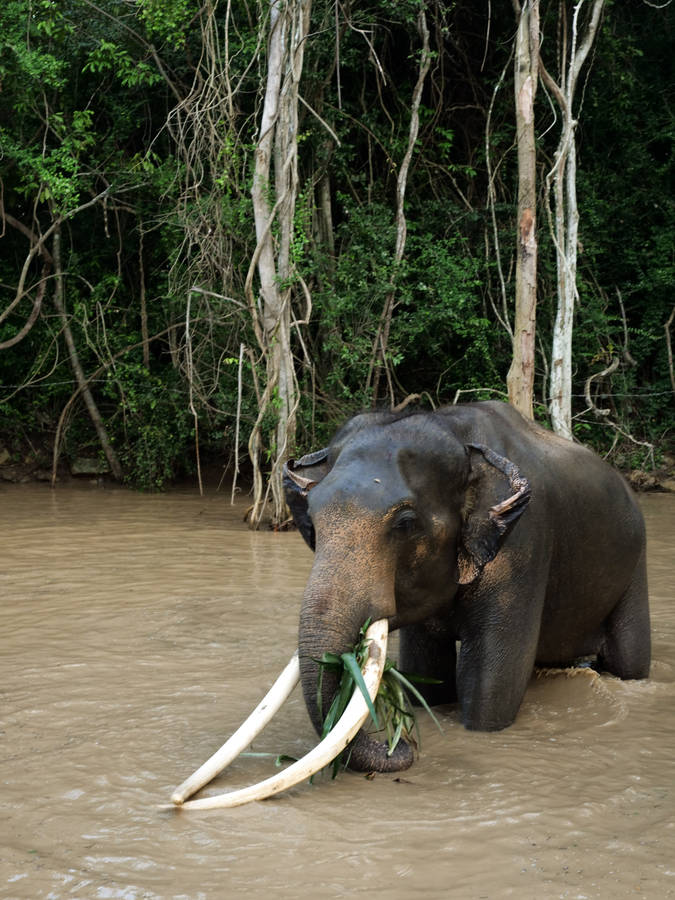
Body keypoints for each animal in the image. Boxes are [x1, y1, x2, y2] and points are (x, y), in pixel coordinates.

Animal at [282, 400, 652, 772]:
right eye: (311, 518)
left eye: (405, 523)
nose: (398, 745)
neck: (457, 433)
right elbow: (428, 674)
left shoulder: (524, 548)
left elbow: (492, 686)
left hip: (635, 562)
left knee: (629, 661)